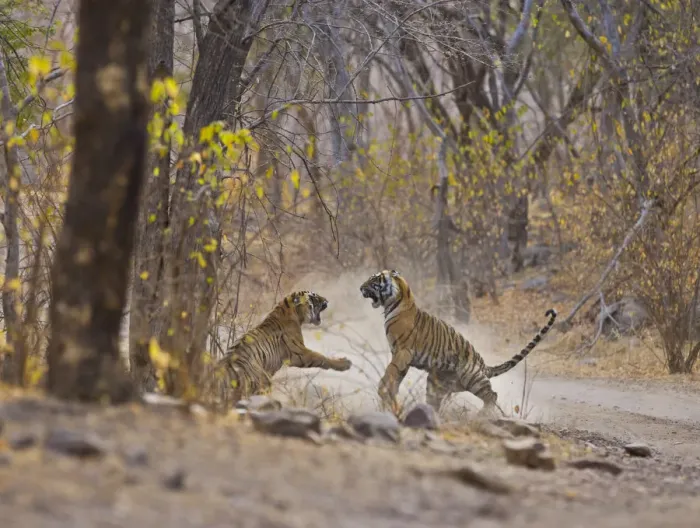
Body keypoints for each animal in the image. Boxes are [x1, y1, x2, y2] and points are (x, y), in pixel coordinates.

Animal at [212, 290, 352, 408]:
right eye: (314, 296)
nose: (327, 300)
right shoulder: (298, 353)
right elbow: (320, 357)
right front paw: (344, 363)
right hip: (262, 382)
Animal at [359, 269, 557, 417]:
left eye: (374, 279)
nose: (360, 287)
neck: (398, 300)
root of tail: (483, 364)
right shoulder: (400, 355)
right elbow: (395, 377)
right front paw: (389, 396)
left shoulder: (403, 352)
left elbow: (390, 372)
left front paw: (383, 390)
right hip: (437, 382)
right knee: (435, 401)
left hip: (471, 377)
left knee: (492, 395)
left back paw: (482, 415)